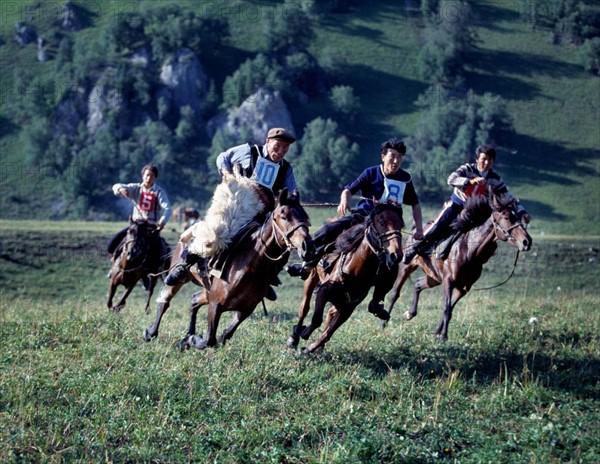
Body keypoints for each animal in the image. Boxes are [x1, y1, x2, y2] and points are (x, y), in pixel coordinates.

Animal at [144, 188, 316, 348]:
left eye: (305, 217)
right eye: (284, 216)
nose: (308, 248)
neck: (251, 267)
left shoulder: (245, 309)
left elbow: (224, 335)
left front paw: (190, 338)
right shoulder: (215, 305)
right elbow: (209, 340)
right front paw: (192, 339)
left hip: (207, 290)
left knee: (194, 300)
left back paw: (186, 335)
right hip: (181, 280)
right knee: (165, 301)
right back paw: (151, 332)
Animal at [288, 201, 408, 354]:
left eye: (400, 225)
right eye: (381, 222)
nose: (396, 255)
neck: (355, 269)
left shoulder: (348, 308)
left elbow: (328, 333)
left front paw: (310, 348)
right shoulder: (324, 291)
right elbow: (316, 319)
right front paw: (304, 333)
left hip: (340, 301)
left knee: (330, 314)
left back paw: (318, 348)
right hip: (312, 278)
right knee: (304, 308)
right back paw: (293, 338)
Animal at [384, 192, 528, 340]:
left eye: (518, 217)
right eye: (507, 217)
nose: (526, 241)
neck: (469, 251)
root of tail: (415, 231)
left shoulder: (462, 288)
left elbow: (450, 310)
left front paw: (437, 334)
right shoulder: (448, 281)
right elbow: (446, 309)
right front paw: (443, 337)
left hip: (434, 277)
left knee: (418, 284)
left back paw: (410, 313)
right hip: (407, 267)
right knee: (395, 293)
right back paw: (383, 323)